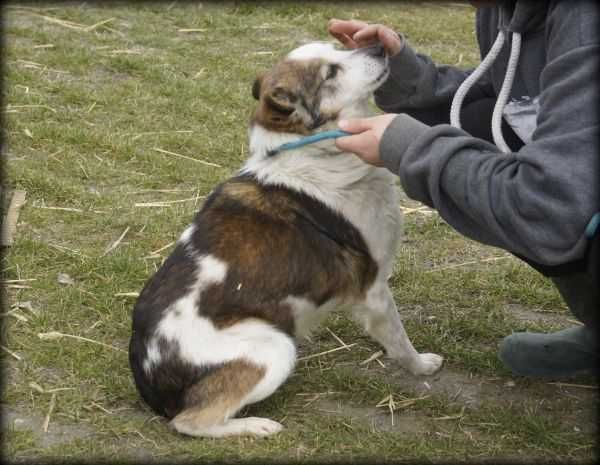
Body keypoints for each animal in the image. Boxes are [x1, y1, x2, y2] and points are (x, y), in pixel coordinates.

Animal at [129, 41, 442, 436]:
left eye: (337, 47)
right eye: (330, 72)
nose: (379, 45)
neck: (315, 153)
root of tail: (149, 378)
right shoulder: (373, 288)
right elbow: (399, 339)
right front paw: (420, 365)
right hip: (275, 347)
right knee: (190, 422)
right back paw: (256, 426)